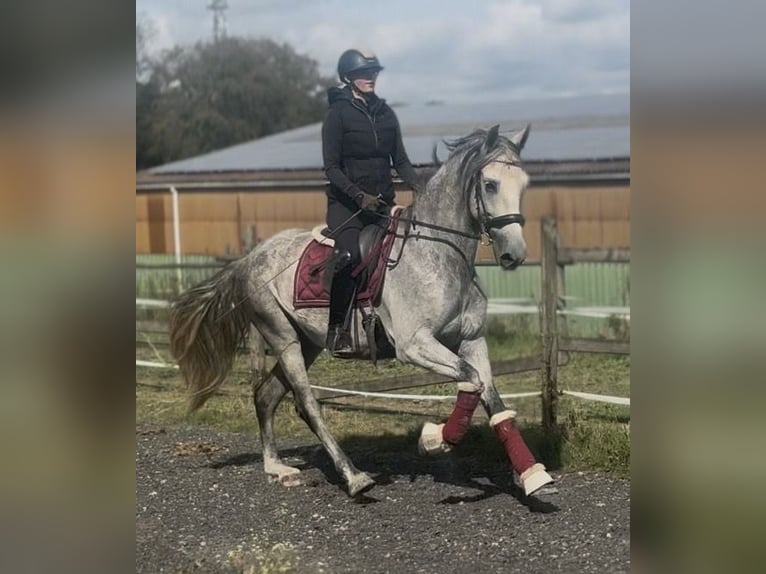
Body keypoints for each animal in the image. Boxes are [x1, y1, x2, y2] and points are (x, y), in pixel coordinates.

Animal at [169, 124, 554, 498]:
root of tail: (250, 258)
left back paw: (277, 467)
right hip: (283, 337)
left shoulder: (472, 339)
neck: (439, 255)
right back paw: (353, 477)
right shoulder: (415, 345)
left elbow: (493, 399)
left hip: (307, 342)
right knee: (307, 403)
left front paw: (532, 475)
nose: (514, 254)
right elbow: (471, 380)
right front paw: (435, 440)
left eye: (524, 184)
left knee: (266, 396)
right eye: (490, 184)